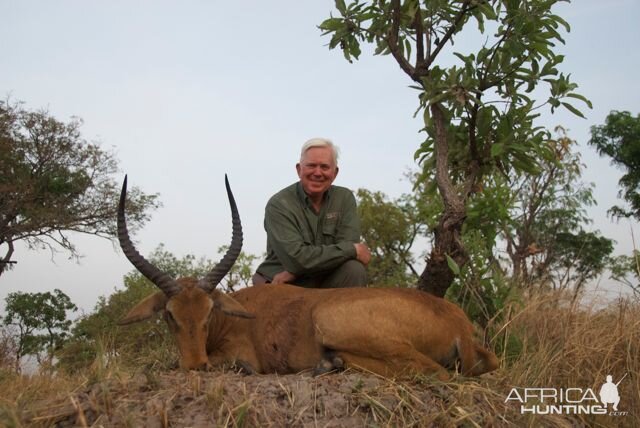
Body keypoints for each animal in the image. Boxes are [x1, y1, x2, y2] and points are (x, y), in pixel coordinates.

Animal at [117, 176, 498, 380]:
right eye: (170, 314)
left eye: (209, 311)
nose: (197, 366)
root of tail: (458, 322)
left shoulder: (239, 356)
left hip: (332, 322)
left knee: (431, 371)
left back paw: (330, 364)